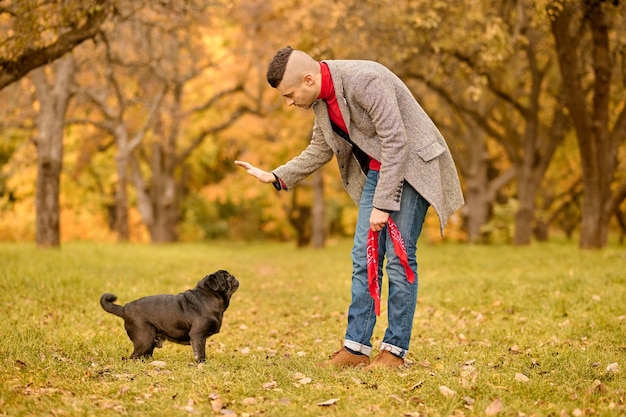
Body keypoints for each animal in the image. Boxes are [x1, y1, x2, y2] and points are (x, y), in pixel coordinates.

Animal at [100, 270, 239, 360]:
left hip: (150, 341)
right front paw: (201, 364)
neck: (208, 298)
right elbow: (200, 353)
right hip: (144, 339)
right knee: (133, 357)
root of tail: (125, 308)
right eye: (228, 278)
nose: (234, 277)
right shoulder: (198, 336)